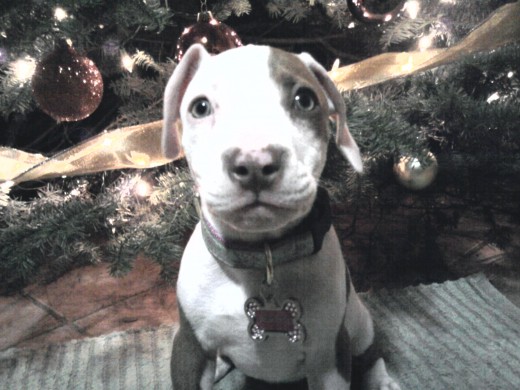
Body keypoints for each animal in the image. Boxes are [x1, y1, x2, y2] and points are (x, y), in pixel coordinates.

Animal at [161, 44, 398, 388]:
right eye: (200, 107)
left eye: (305, 100)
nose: (254, 162)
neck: (263, 257)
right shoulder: (189, 348)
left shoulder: (329, 357)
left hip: (359, 323)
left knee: (371, 353)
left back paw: (382, 380)